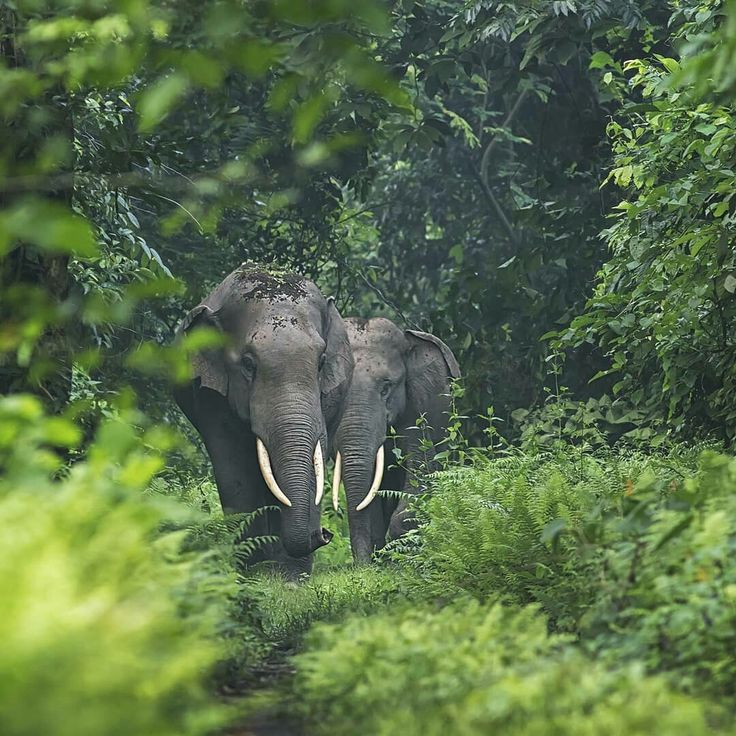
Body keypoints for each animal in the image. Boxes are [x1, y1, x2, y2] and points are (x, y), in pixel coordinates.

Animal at [173, 264, 354, 577]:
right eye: (248, 364)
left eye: (321, 362)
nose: (324, 534)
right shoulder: (210, 396)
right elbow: (234, 467)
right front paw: (252, 572)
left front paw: (291, 579)